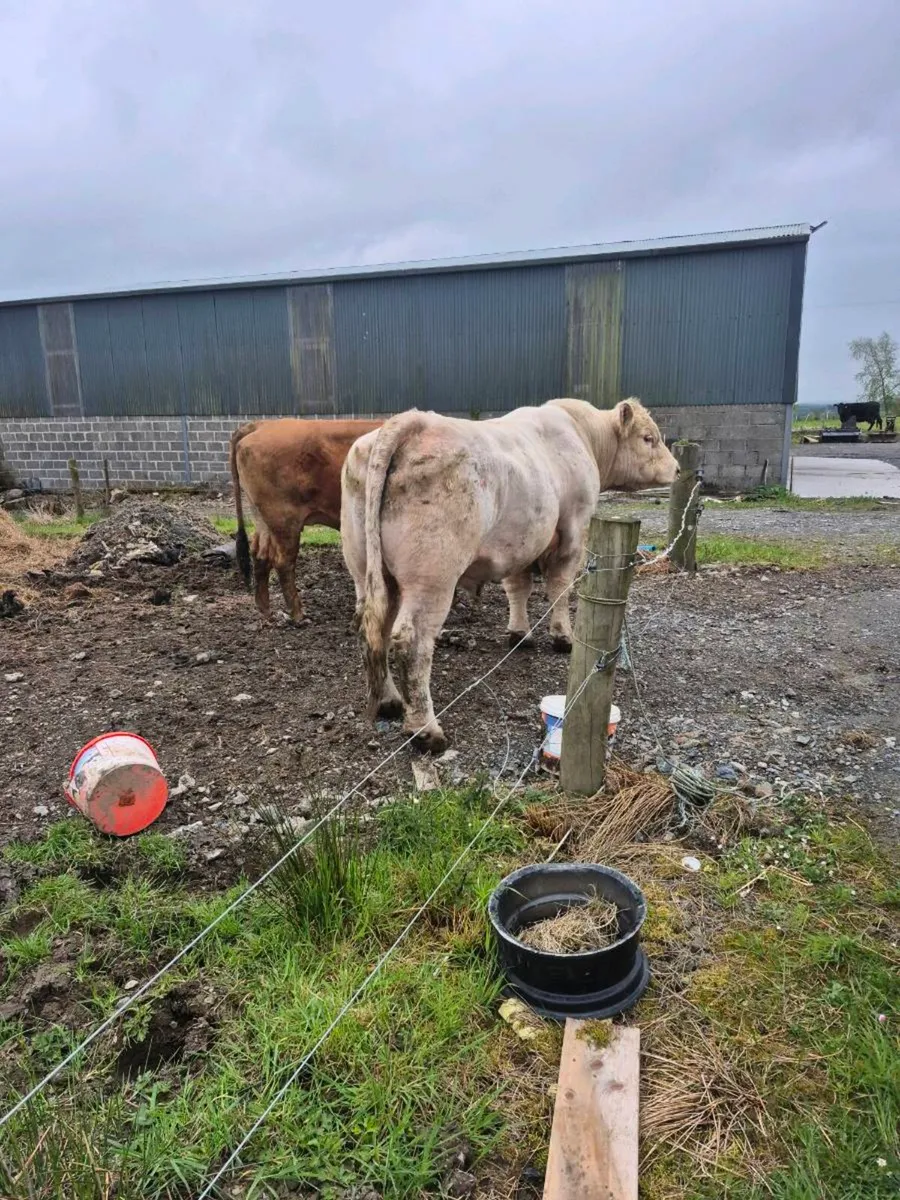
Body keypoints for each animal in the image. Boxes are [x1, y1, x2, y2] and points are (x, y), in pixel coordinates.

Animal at [230, 418, 382, 623]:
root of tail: (261, 424)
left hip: (262, 518)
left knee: (260, 555)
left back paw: (266, 610)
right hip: (284, 520)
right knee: (283, 562)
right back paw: (298, 615)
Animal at [341, 397, 679, 752]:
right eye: (648, 438)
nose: (678, 469)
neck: (583, 434)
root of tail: (411, 422)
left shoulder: (520, 543)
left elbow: (518, 587)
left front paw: (520, 633)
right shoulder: (573, 531)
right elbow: (560, 587)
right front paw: (563, 637)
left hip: (368, 571)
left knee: (373, 629)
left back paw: (389, 702)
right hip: (432, 577)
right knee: (410, 642)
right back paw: (426, 731)